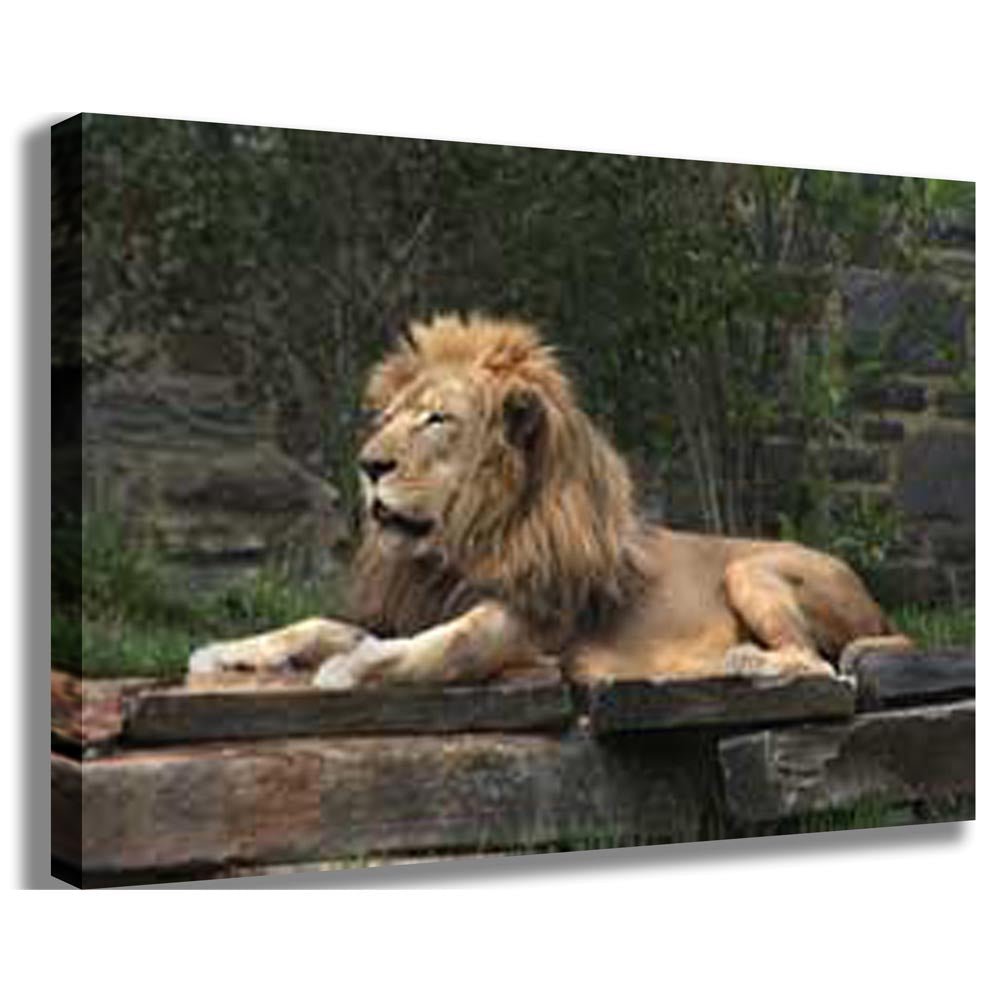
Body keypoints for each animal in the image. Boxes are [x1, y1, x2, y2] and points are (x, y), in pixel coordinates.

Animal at [188, 314, 909, 690]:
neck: (461, 546)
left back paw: (744, 661)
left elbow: (448, 644)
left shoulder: (530, 623)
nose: (369, 465)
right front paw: (227, 651)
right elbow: (314, 624)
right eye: (388, 418)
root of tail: (878, 608)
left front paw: (351, 667)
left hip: (750, 568)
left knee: (821, 666)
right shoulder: (414, 604)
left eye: (437, 420)